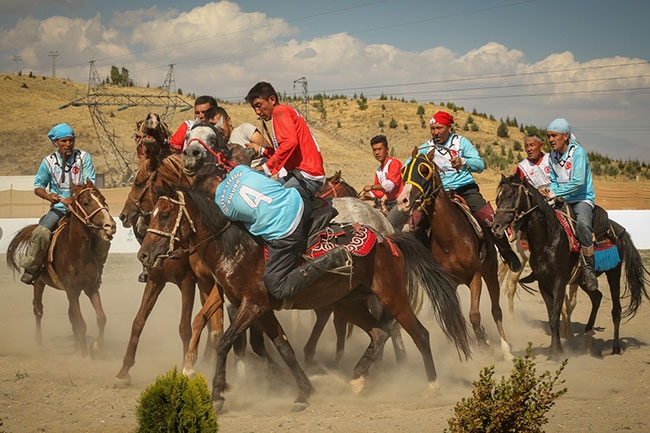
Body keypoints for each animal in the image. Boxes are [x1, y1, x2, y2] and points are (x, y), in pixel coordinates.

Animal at [6, 181, 116, 356]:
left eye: (103, 199)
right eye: (86, 202)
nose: (110, 225)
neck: (77, 253)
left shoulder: (91, 288)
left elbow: (101, 318)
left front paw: (97, 346)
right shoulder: (72, 291)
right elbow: (81, 322)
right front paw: (85, 353)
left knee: (70, 315)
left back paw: (76, 344)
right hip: (39, 282)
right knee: (38, 309)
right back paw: (39, 342)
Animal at [138, 170, 470, 410]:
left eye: (165, 215)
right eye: (150, 213)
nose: (144, 254)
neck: (237, 249)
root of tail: (388, 238)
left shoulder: (252, 306)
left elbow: (225, 343)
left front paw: (218, 393)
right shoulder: (261, 309)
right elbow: (284, 348)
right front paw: (303, 391)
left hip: (392, 295)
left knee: (418, 334)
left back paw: (430, 386)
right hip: (350, 303)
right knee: (379, 333)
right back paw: (358, 379)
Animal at [394, 148, 512, 358]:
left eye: (424, 170)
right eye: (403, 171)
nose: (403, 200)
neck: (451, 238)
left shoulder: (475, 276)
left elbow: (474, 315)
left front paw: (483, 345)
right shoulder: (448, 283)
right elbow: (459, 318)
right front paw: (480, 340)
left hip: (490, 271)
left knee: (496, 310)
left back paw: (506, 350)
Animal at [492, 174, 648, 356]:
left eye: (512, 195)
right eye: (498, 198)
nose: (495, 226)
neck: (548, 239)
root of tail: (618, 230)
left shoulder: (559, 281)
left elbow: (558, 313)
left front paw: (557, 351)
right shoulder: (544, 283)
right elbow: (554, 315)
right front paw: (557, 347)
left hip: (613, 272)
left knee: (615, 309)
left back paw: (615, 347)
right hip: (579, 279)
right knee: (596, 297)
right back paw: (587, 338)